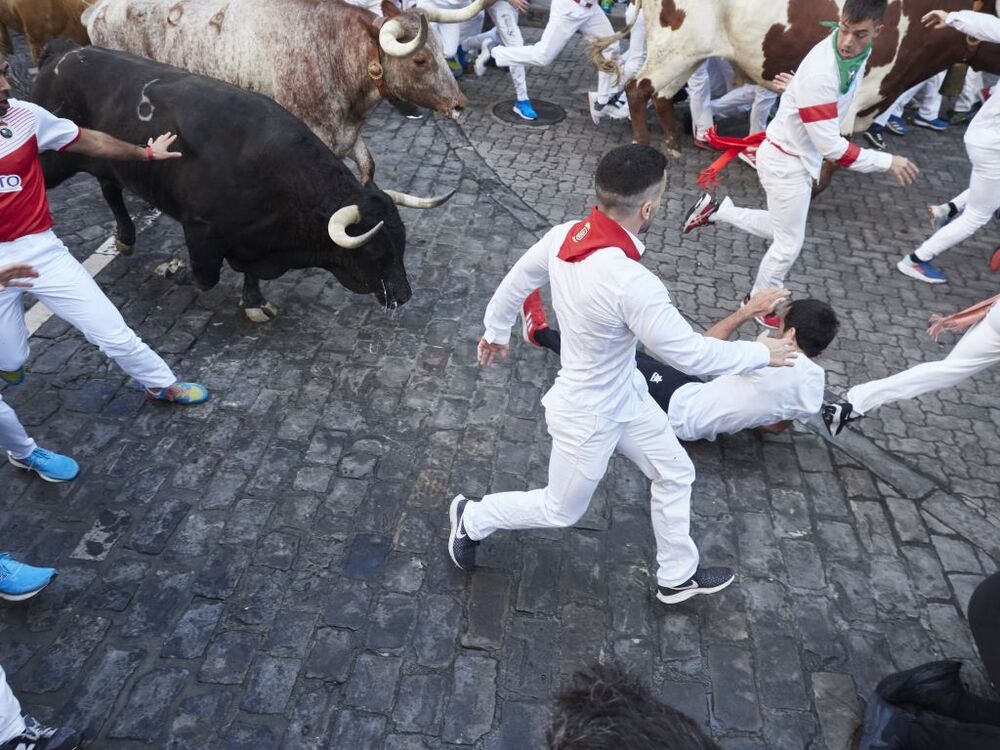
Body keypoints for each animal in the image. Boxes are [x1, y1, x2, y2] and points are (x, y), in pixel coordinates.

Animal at [33, 40, 438, 320]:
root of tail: (66, 50)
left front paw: (255, 303)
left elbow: (251, 276)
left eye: (402, 244)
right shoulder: (200, 228)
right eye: (374, 251)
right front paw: (171, 271)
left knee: (111, 189)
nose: (403, 295)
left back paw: (126, 237)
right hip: (56, 159)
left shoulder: (254, 244)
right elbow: (205, 276)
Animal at [84, 0, 482, 184]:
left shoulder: (348, 137)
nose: (460, 104)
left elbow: (369, 169)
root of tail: (100, 9)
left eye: (439, 48)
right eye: (419, 59)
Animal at [592, 0, 1000, 154]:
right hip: (676, 49)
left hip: (688, 54)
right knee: (638, 88)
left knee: (661, 94)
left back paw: (676, 142)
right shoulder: (857, 96)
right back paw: (643, 142)